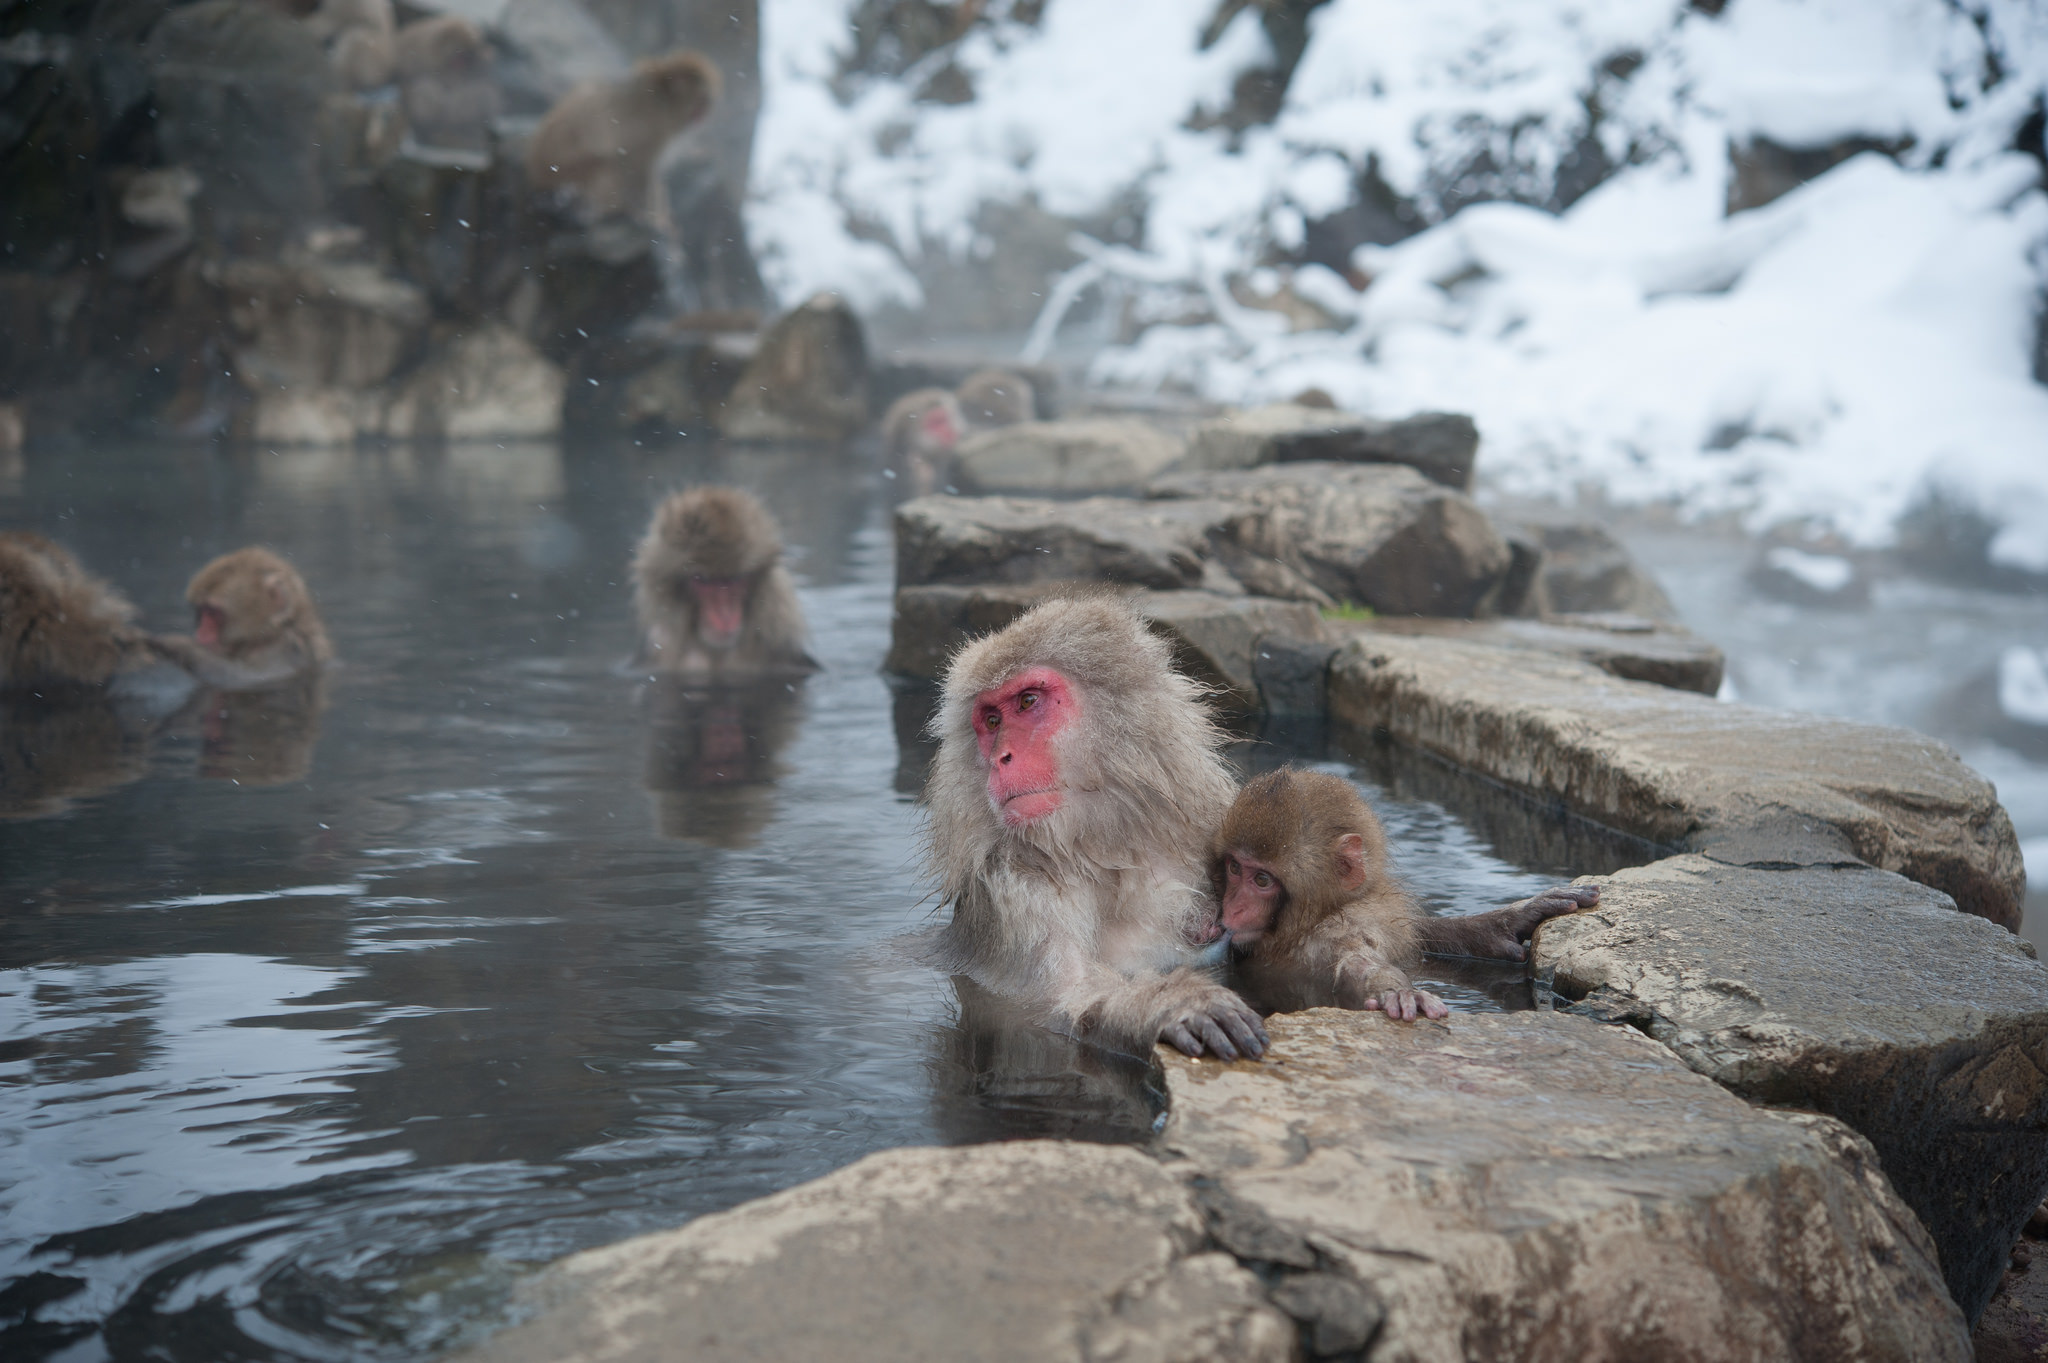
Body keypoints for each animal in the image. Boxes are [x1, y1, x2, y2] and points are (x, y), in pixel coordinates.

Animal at [524, 49, 724, 220]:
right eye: (703, 100)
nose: (706, 111)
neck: (663, 96)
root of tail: (537, 180)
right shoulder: (652, 129)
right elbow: (636, 165)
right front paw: (651, 219)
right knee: (610, 165)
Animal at [925, 593, 1269, 1064]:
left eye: (1027, 702)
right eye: (991, 722)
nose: (1000, 759)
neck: (1107, 849)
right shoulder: (1012, 888)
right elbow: (1065, 997)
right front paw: (1174, 1004)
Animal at [1204, 765, 1605, 1019]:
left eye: (1262, 880)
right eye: (1235, 868)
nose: (1232, 908)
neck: (1307, 923)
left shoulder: (1340, 932)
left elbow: (1362, 962)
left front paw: (1396, 992)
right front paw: (1501, 926)